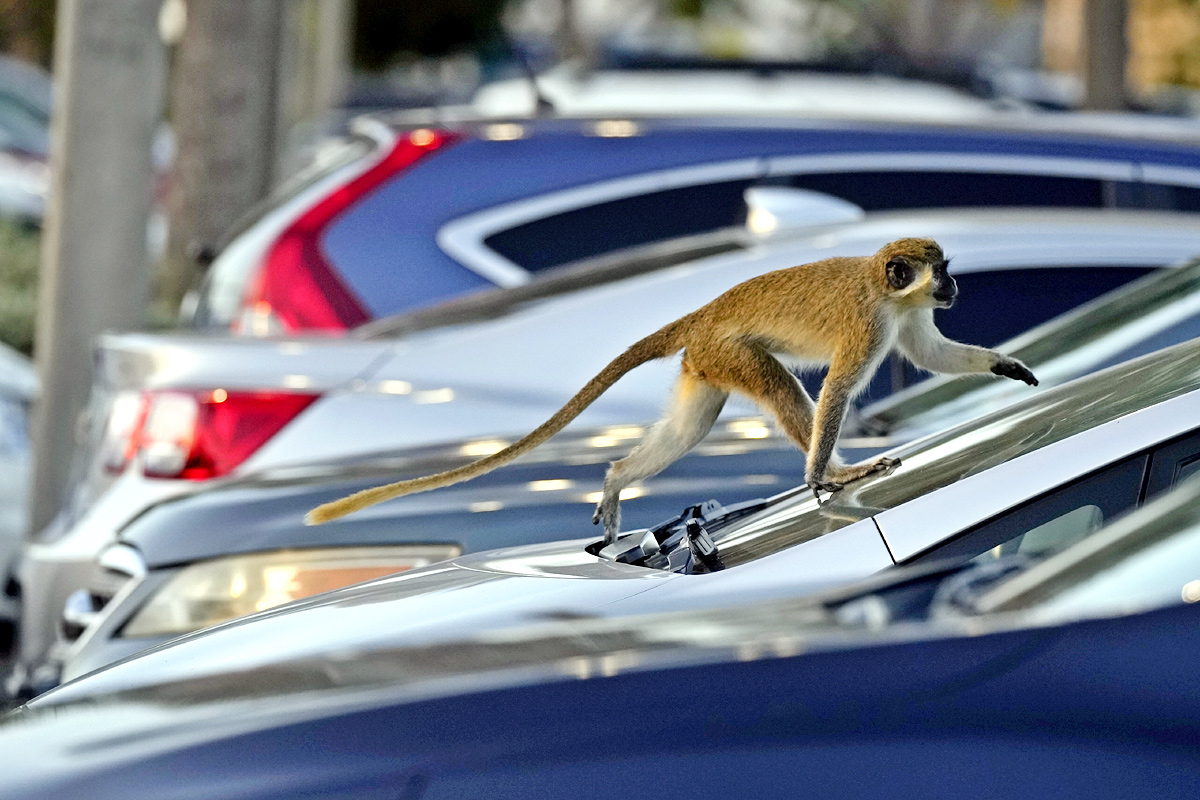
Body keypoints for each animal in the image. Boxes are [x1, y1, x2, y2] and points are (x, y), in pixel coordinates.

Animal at [304, 235, 1036, 542]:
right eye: (942, 271)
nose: (953, 286)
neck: (885, 288)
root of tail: (705, 313)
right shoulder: (870, 322)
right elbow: (836, 388)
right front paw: (826, 478)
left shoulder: (906, 319)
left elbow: (932, 354)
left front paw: (1007, 367)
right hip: (729, 352)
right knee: (785, 393)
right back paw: (832, 468)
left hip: (704, 366)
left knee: (689, 427)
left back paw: (616, 477)